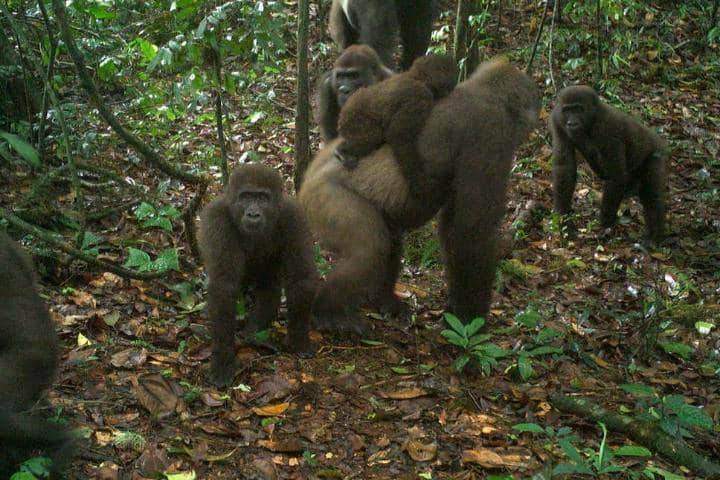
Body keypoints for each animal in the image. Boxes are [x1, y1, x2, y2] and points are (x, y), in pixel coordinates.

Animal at [198, 164, 320, 386]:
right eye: (246, 197)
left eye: (262, 198)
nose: (253, 214)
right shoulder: (216, 219)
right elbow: (223, 286)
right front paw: (223, 359)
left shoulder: (293, 216)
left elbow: (301, 276)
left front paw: (298, 339)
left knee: (269, 287)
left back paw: (254, 335)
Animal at [298, 58, 540, 332]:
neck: (484, 90)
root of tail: (305, 182)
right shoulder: (492, 134)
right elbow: (471, 232)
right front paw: (470, 321)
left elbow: (453, 230)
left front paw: (455, 311)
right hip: (323, 198)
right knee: (368, 250)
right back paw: (327, 312)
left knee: (389, 239)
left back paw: (382, 300)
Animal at [552, 85, 668, 242]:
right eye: (567, 110)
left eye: (578, 109)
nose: (571, 123)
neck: (592, 117)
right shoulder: (557, 119)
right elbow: (564, 168)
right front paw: (564, 219)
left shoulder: (608, 127)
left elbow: (616, 175)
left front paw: (605, 224)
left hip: (657, 153)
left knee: (651, 194)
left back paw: (654, 237)